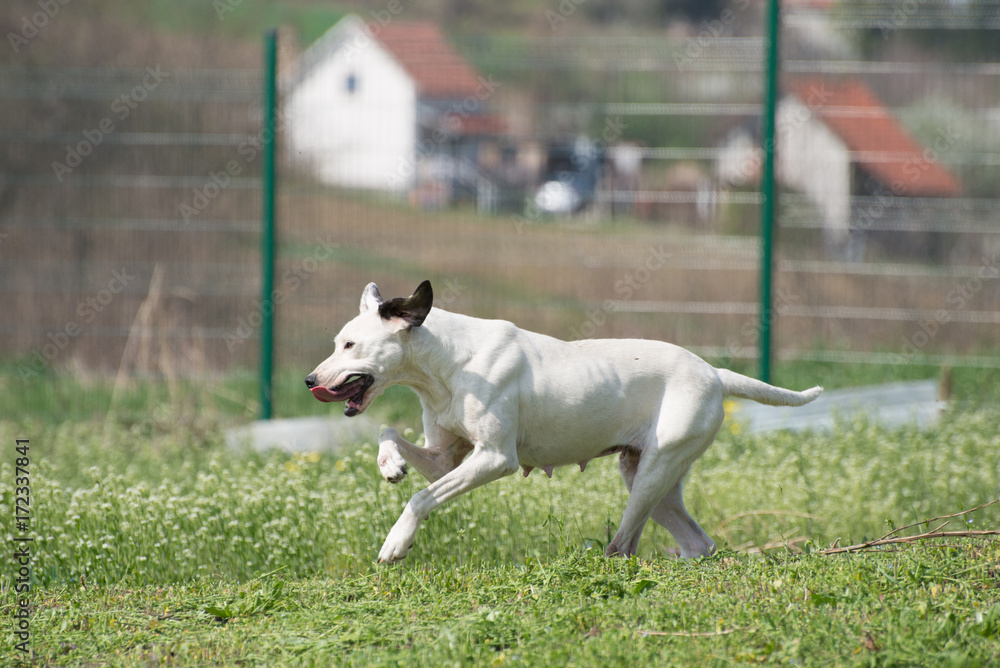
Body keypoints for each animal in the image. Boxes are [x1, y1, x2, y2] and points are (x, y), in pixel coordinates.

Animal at [304, 280, 820, 564]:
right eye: (337, 342)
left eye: (350, 345)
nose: (310, 379)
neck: (446, 360)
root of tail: (713, 371)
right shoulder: (446, 457)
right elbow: (390, 434)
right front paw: (390, 464)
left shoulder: (494, 459)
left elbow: (420, 498)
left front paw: (396, 543)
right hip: (646, 477)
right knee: (697, 542)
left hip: (652, 475)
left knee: (624, 545)